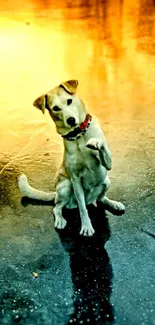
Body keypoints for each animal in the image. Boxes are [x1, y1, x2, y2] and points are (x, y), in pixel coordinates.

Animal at [18, 78, 124, 235]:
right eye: (56, 108)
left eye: (69, 101)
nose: (71, 120)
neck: (79, 135)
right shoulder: (75, 179)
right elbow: (82, 209)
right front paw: (86, 227)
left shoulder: (108, 164)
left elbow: (102, 148)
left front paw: (95, 143)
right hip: (65, 186)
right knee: (57, 208)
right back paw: (60, 219)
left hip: (106, 181)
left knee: (101, 199)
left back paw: (114, 204)